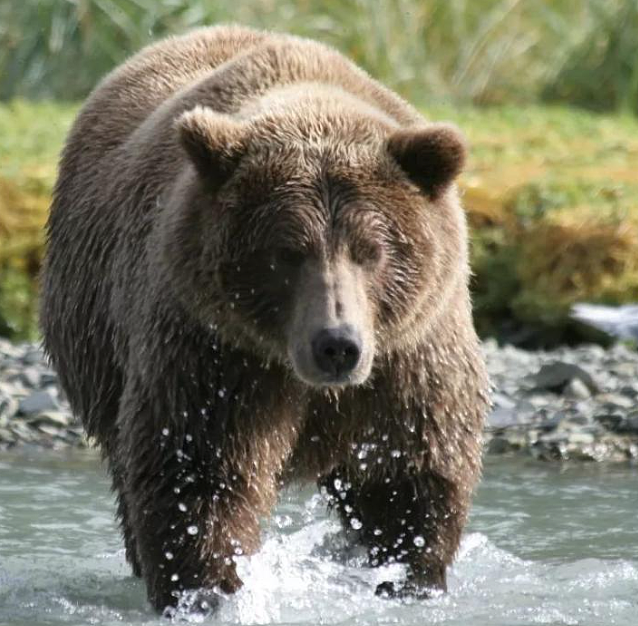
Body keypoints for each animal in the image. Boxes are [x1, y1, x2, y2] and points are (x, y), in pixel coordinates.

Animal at [41, 24, 490, 608]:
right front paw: (208, 590)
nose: (336, 345)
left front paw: (408, 576)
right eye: (286, 252)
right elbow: (201, 475)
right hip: (99, 342)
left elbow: (405, 475)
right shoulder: (216, 355)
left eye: (372, 250)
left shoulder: (409, 360)